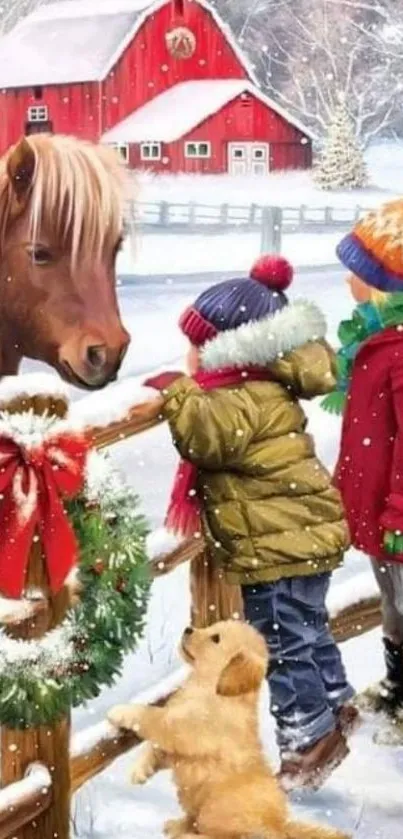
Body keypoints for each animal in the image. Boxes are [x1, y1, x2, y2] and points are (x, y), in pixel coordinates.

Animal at [109, 620, 348, 839]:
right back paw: (177, 826)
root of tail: (278, 826)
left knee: (221, 834)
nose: (188, 629)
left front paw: (120, 711)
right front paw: (140, 770)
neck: (210, 688)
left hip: (216, 809)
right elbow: (156, 748)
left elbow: (153, 718)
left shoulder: (188, 730)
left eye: (216, 638)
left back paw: (187, 835)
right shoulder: (179, 741)